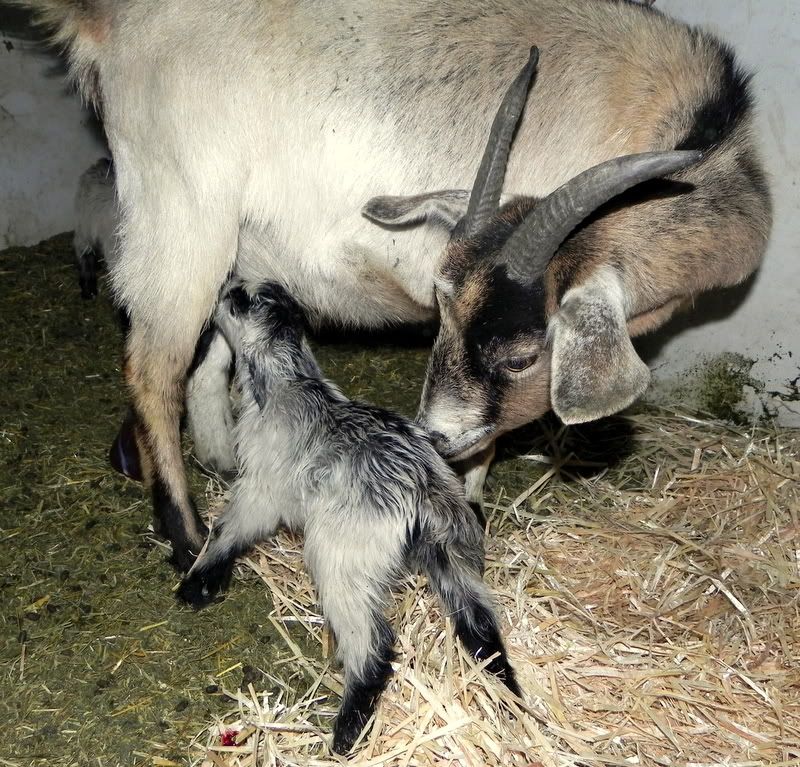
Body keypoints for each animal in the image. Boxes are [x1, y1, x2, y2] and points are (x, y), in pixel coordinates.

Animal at [22, 0, 771, 569]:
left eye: (523, 356)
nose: (430, 439)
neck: (698, 142)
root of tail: (105, 20)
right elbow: (484, 434)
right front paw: (469, 506)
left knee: (205, 356)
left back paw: (209, 465)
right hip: (181, 215)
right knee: (153, 364)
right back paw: (186, 537)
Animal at [178, 282, 519, 753]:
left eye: (238, 299)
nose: (224, 288)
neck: (290, 381)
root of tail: (421, 484)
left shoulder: (261, 489)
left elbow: (230, 529)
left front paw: (200, 580)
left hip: (341, 556)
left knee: (373, 645)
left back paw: (347, 729)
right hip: (454, 549)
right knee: (479, 619)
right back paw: (508, 690)